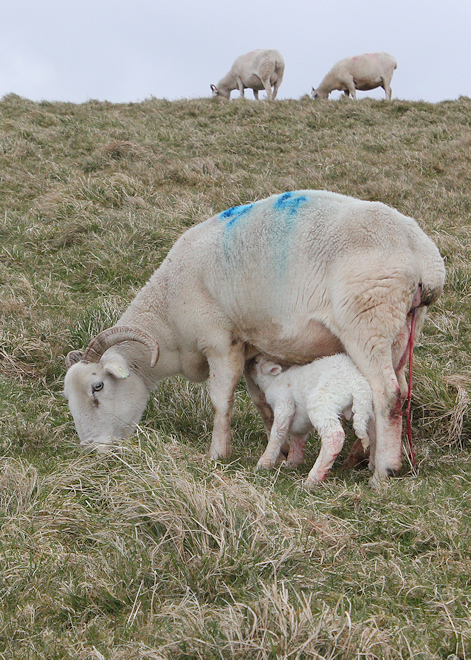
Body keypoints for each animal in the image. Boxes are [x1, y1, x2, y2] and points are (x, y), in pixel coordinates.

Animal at [251, 354, 373, 485]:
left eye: (257, 361)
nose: (252, 361)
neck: (274, 380)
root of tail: (357, 384)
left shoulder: (284, 401)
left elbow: (278, 432)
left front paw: (264, 463)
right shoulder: (301, 419)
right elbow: (298, 436)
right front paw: (293, 462)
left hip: (322, 402)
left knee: (334, 436)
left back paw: (313, 479)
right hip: (366, 410)